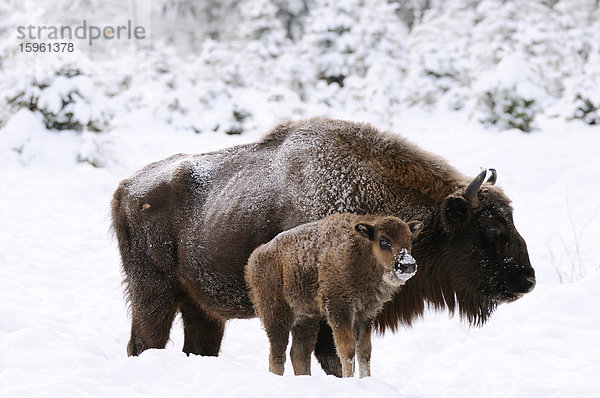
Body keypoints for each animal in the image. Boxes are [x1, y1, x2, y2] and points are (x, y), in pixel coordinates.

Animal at [244, 213, 422, 378]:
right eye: (383, 241)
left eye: (410, 239)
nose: (408, 265)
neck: (360, 250)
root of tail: (255, 257)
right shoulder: (339, 309)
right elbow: (347, 350)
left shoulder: (366, 314)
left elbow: (364, 352)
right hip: (277, 316)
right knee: (278, 354)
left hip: (306, 319)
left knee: (299, 353)